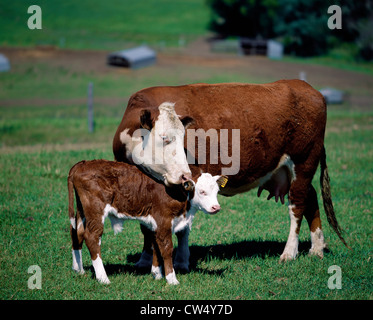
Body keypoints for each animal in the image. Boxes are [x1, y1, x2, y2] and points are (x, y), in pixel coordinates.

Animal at [67, 159, 225, 284]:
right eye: (202, 191)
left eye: (217, 191)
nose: (216, 207)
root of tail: (82, 164)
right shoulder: (163, 221)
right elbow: (166, 249)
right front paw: (171, 279)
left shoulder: (155, 223)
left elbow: (156, 246)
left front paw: (157, 274)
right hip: (95, 211)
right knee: (92, 237)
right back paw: (103, 278)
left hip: (82, 210)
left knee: (77, 233)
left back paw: (78, 270)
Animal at [112, 80, 348, 268]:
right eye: (164, 138)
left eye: (183, 137)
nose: (185, 175)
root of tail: (306, 88)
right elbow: (146, 225)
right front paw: (144, 260)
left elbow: (183, 227)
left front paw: (181, 260)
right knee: (311, 198)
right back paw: (316, 248)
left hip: (303, 162)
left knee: (297, 207)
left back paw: (289, 252)